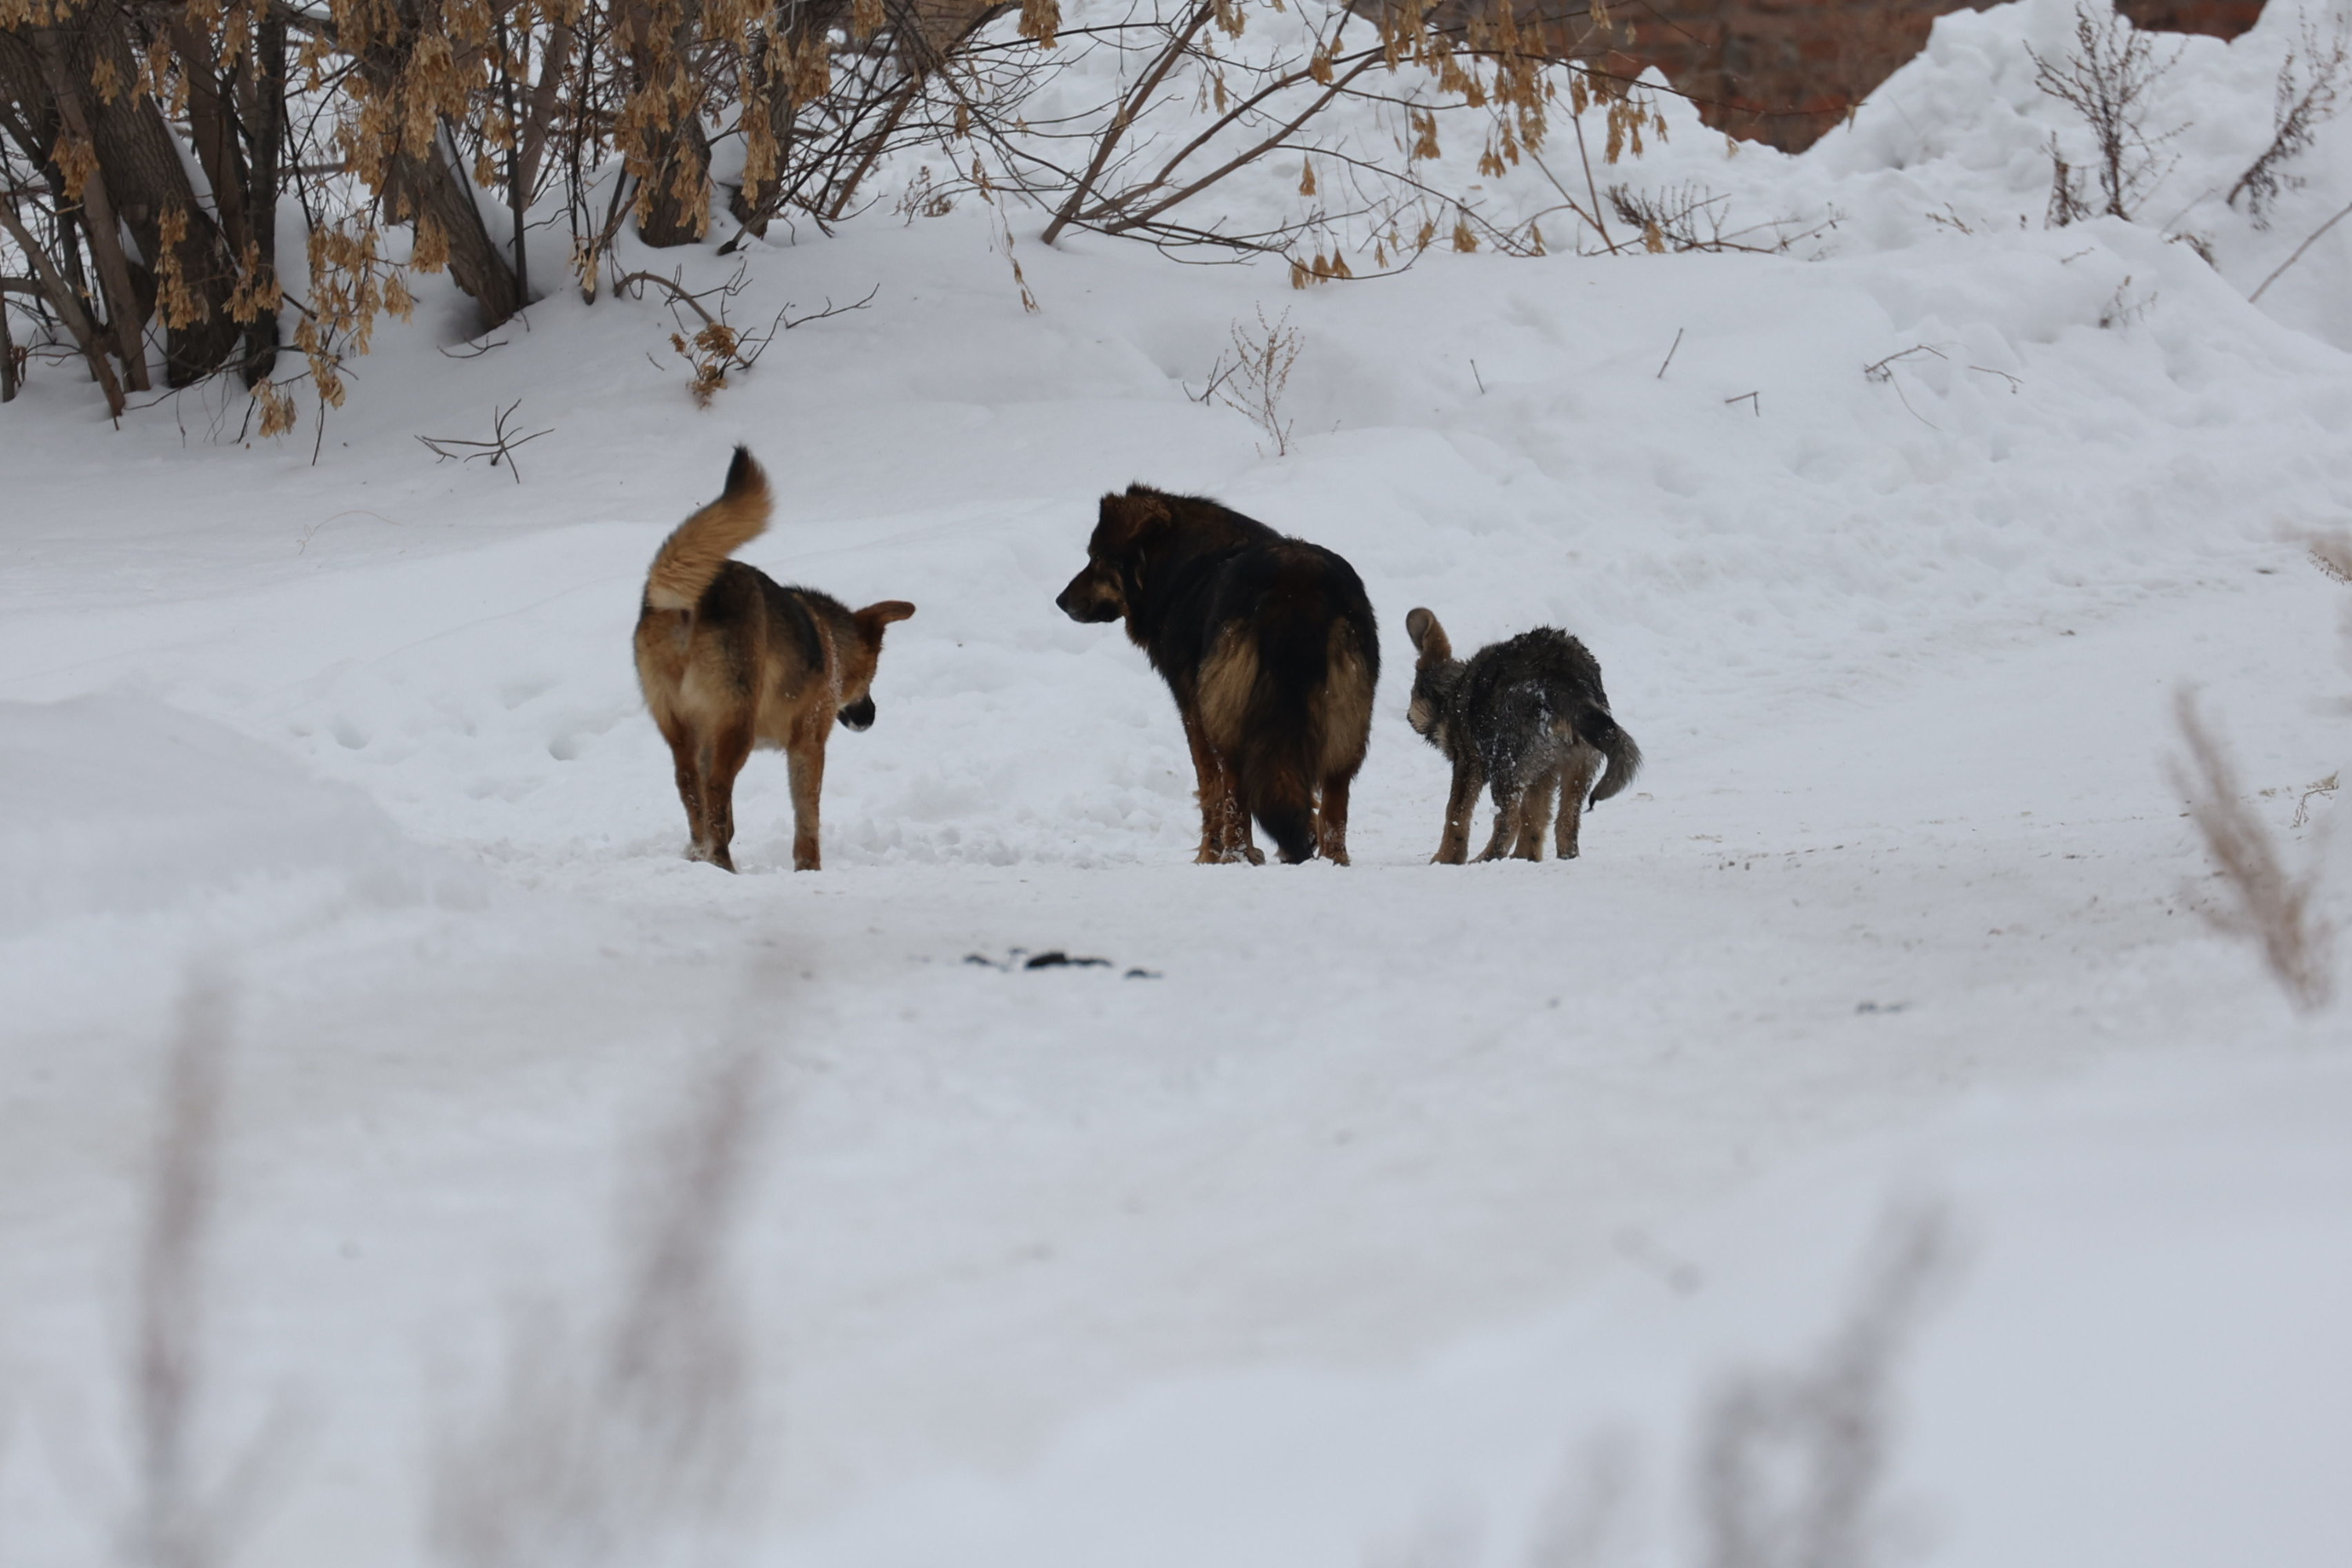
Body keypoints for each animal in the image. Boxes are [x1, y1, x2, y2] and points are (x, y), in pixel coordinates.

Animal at [633, 448, 915, 871]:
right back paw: (722, 865)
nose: (870, 717)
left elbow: (725, 816)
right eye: (871, 675)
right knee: (716, 787)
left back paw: (701, 856)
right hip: (736, 726)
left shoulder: (703, 738)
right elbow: (807, 818)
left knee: (690, 787)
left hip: (681, 728)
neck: (831, 643)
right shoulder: (808, 743)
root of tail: (687, 599)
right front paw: (808, 869)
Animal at [1056, 485, 1378, 864]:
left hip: (1228, 713)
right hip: (1346, 720)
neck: (1178, 566)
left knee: (1236, 790)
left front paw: (1209, 854)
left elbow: (1210, 788)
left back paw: (1234, 856)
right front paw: (1301, 838)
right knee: (1334, 802)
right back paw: (1331, 859)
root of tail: (1295, 584)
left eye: (1095, 558)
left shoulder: (1193, 709)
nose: (1060, 600)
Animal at [1403, 609, 1641, 864]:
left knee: (1509, 821)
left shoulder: (1469, 762)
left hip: (1505, 766)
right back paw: (1541, 857)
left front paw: (1446, 858)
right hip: (1579, 765)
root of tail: (1562, 678)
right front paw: (1527, 856)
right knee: (1566, 822)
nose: (1408, 717)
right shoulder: (1544, 772)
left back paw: (1485, 858)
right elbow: (1535, 818)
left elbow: (1456, 813)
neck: (1452, 692)